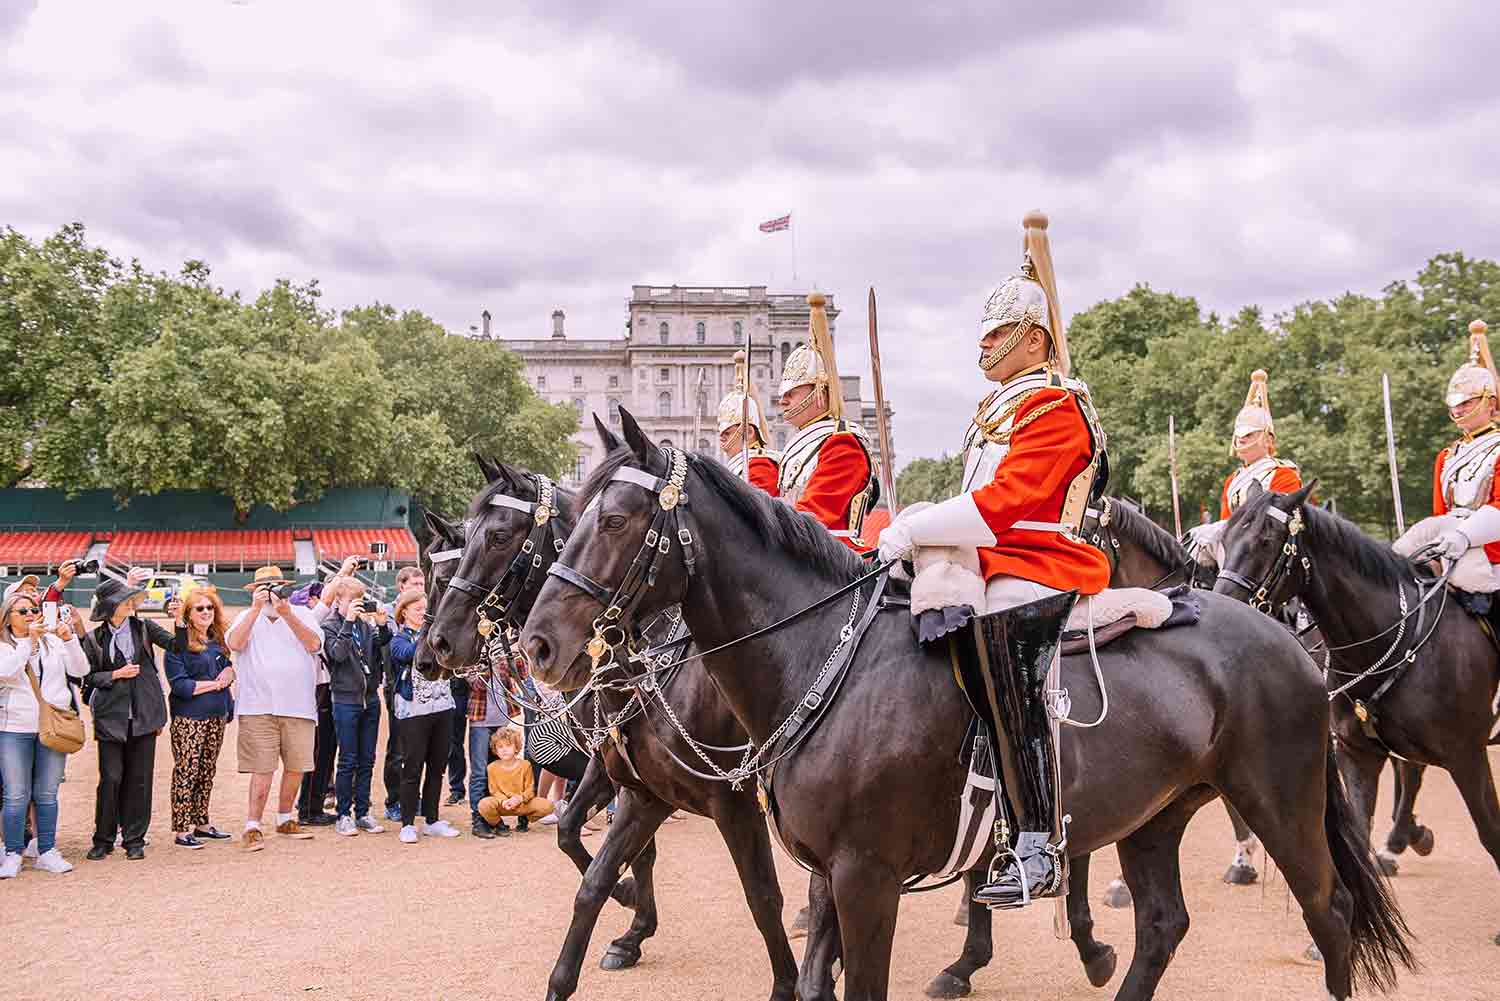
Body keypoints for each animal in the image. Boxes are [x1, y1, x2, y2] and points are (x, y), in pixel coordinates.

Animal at [429, 441, 804, 1001]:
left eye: (496, 536)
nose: (438, 645)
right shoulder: (626, 777)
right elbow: (578, 838)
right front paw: (632, 921)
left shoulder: (728, 800)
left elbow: (760, 893)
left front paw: (631, 909)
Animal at [522, 414, 1410, 1001]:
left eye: (614, 518)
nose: (537, 645)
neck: (821, 656)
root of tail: (1284, 636)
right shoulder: (820, 867)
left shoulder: (864, 873)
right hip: (1156, 816)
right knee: (1162, 925)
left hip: (1279, 801)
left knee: (1330, 912)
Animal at [1218, 480, 1500, 942]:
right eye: (1224, 539)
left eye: (1266, 541)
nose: (1219, 604)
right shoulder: (1357, 752)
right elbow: (1357, 833)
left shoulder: (1467, 755)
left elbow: (1490, 831)